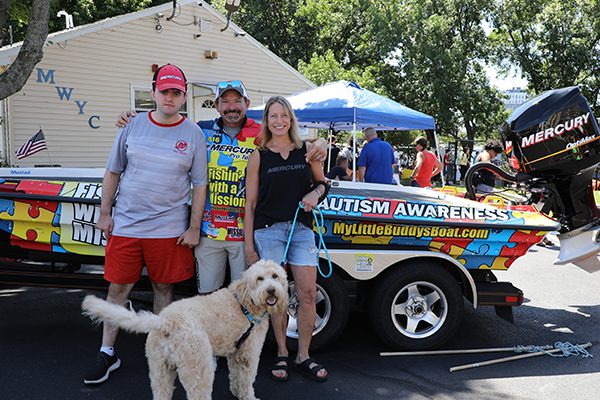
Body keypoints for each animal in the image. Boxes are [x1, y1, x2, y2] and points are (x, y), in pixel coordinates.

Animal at [82, 260, 288, 400]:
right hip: (199, 368)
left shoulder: (235, 352)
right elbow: (246, 380)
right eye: (260, 279)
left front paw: (236, 391)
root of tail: (166, 321)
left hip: (160, 370)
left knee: (161, 392)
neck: (246, 301)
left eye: (275, 276)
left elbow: (235, 376)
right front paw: (248, 396)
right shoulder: (249, 354)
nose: (271, 290)